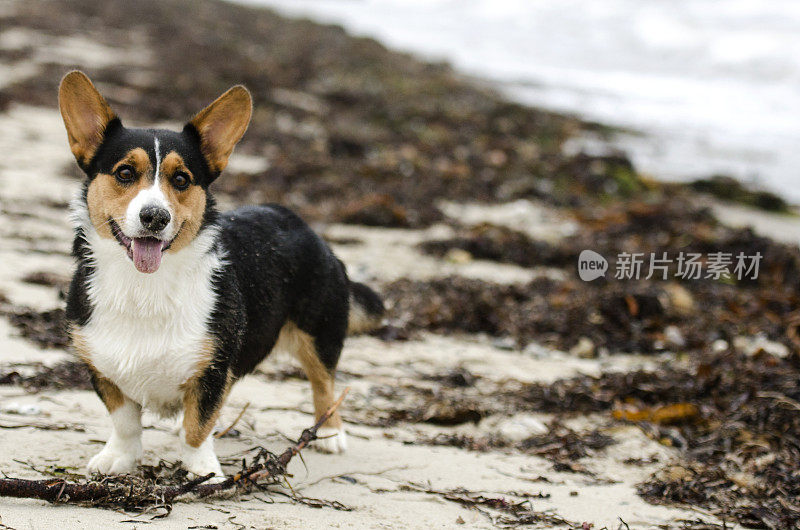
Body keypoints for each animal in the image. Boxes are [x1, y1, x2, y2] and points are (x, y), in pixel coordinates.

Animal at [58, 70, 384, 478]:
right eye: (125, 173)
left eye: (181, 179)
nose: (155, 217)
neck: (144, 286)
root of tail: (303, 225)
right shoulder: (102, 367)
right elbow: (126, 421)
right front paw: (118, 458)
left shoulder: (213, 367)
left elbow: (198, 425)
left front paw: (203, 472)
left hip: (319, 332)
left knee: (324, 383)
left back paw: (330, 434)